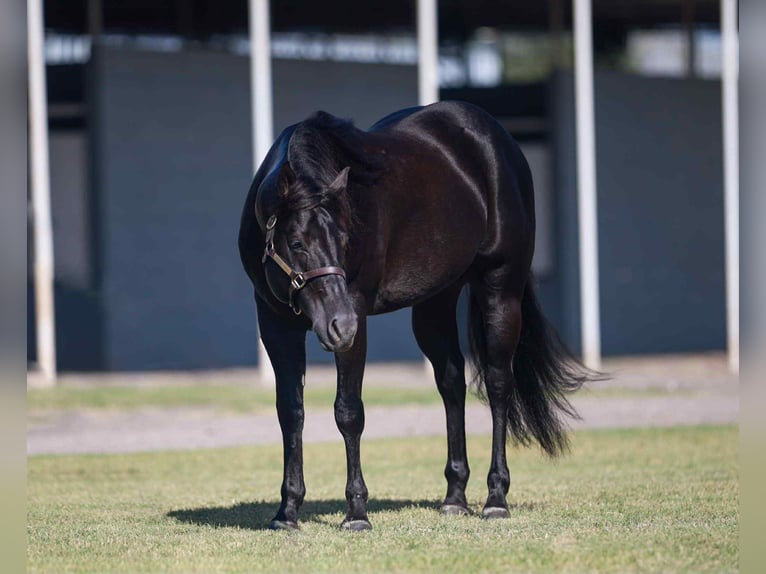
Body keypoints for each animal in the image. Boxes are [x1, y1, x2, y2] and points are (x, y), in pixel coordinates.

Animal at [238, 101, 594, 531]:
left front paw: (356, 512)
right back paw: (455, 496)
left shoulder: (356, 316)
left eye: (345, 238)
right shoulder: (275, 324)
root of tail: (498, 138)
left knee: (497, 386)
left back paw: (496, 498)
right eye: (295, 243)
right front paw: (287, 511)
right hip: (434, 304)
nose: (340, 326)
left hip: (501, 289)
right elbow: (291, 412)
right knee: (452, 382)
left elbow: (349, 412)